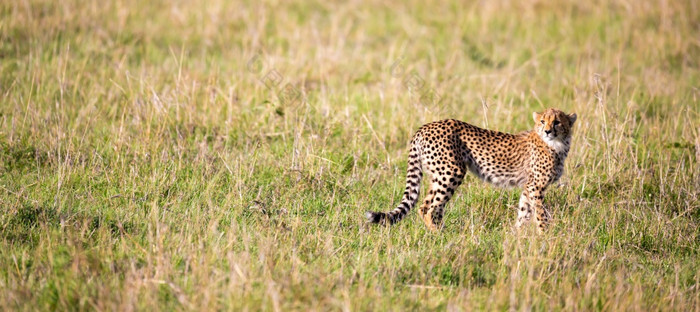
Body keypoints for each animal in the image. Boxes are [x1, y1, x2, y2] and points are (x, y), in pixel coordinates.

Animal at [364, 107, 576, 232]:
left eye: (557, 122)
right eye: (543, 122)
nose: (548, 131)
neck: (557, 145)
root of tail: (425, 126)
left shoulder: (527, 187)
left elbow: (524, 211)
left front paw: (516, 235)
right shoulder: (535, 187)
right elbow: (540, 213)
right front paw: (544, 237)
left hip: (438, 174)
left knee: (428, 205)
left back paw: (441, 231)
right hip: (452, 172)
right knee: (429, 208)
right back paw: (439, 234)